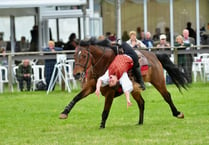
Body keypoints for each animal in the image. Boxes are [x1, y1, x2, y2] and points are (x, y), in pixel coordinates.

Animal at [59, 40, 188, 128]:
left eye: (84, 56)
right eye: (74, 55)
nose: (76, 74)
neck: (104, 65)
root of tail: (154, 55)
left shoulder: (110, 93)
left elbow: (105, 111)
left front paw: (101, 126)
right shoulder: (90, 87)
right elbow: (76, 97)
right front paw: (64, 113)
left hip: (158, 81)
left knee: (167, 96)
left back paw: (177, 113)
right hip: (135, 89)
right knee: (141, 103)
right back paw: (140, 122)